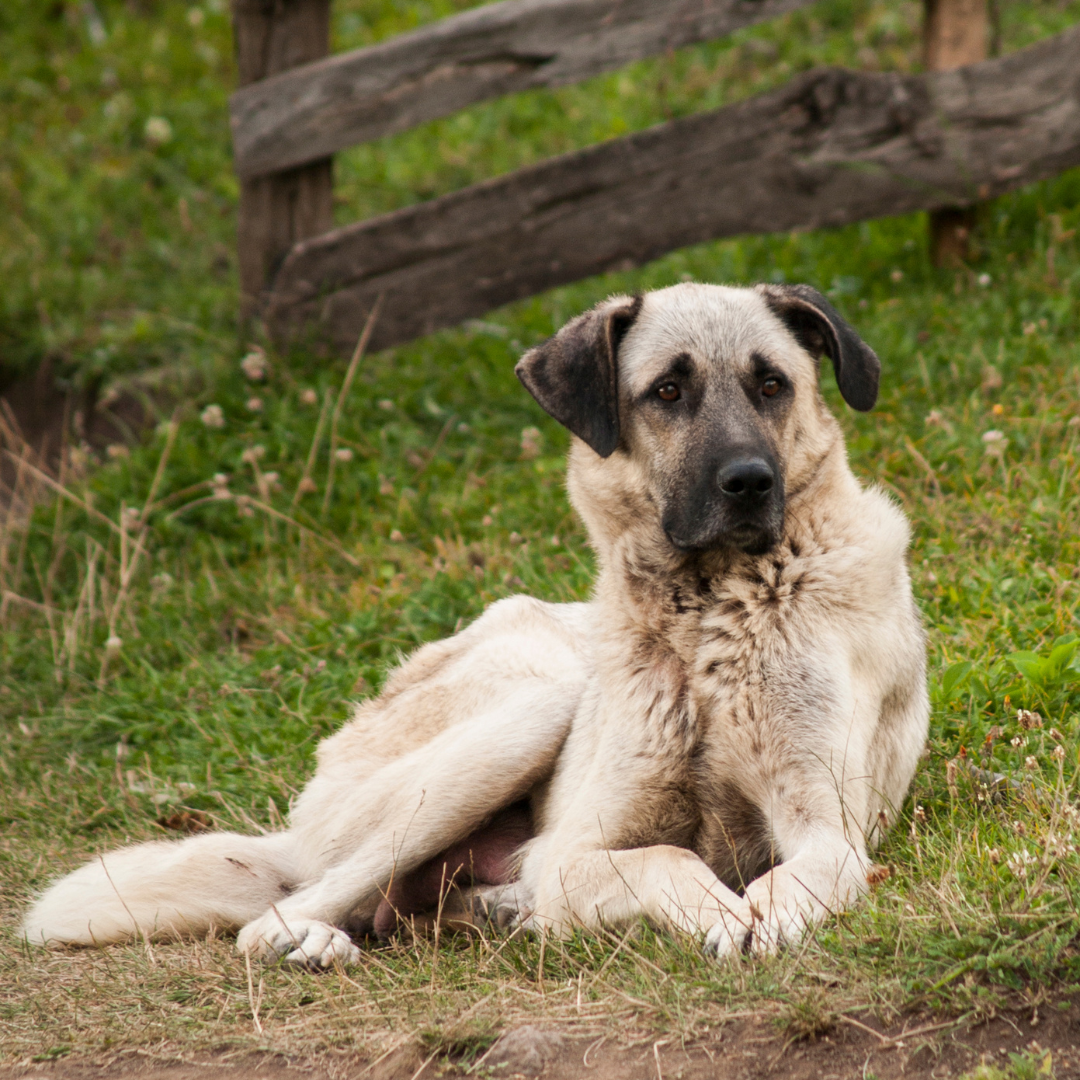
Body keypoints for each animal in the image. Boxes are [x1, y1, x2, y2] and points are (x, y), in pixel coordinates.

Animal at [23, 282, 928, 967]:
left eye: (772, 384)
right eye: (668, 392)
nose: (749, 482)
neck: (707, 614)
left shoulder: (827, 831)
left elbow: (793, 880)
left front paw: (761, 917)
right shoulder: (574, 854)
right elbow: (666, 858)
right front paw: (719, 911)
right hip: (529, 710)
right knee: (280, 912)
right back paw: (316, 939)